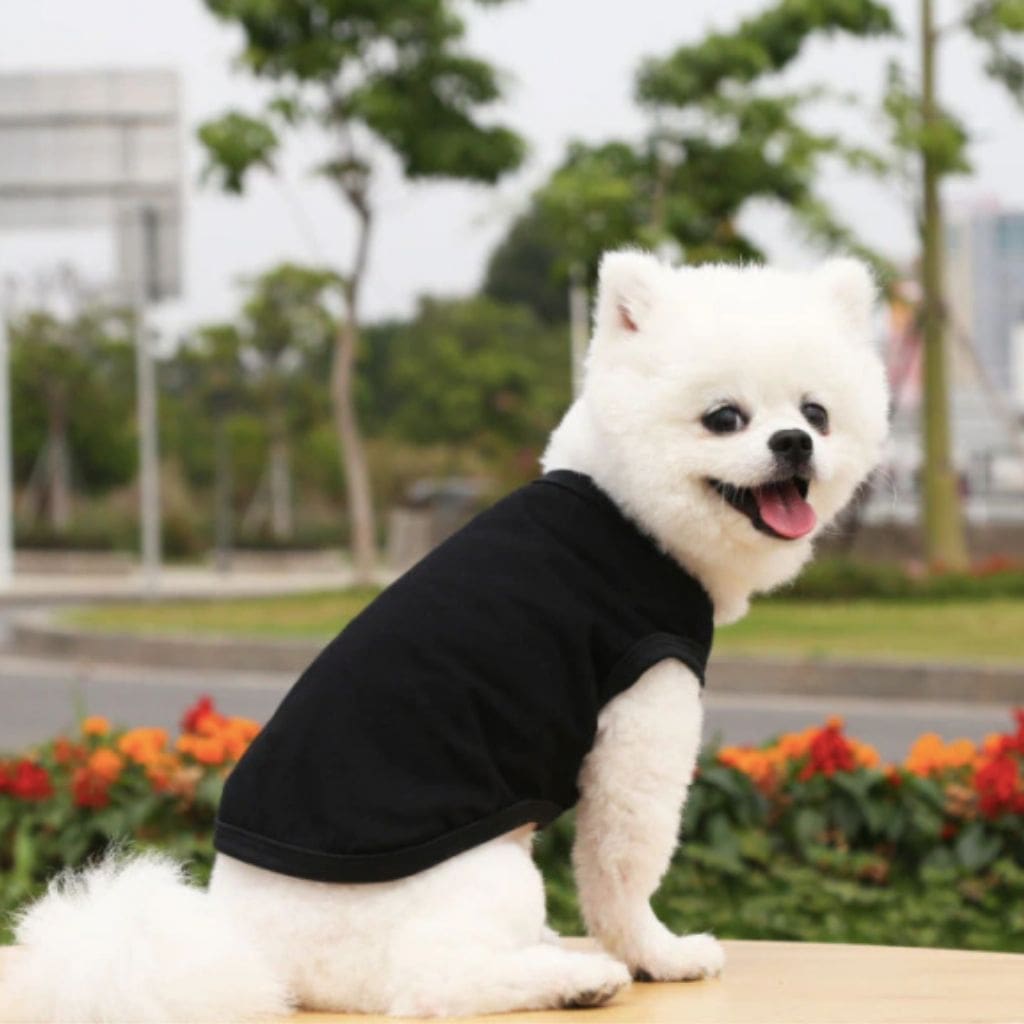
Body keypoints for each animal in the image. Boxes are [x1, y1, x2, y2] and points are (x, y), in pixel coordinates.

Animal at [3, 250, 890, 1021]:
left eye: (816, 413)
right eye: (723, 418)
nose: (794, 443)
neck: (627, 514)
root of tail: (248, 947)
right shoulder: (644, 714)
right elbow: (623, 868)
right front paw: (657, 955)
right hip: (488, 871)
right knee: (432, 984)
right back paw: (576, 980)